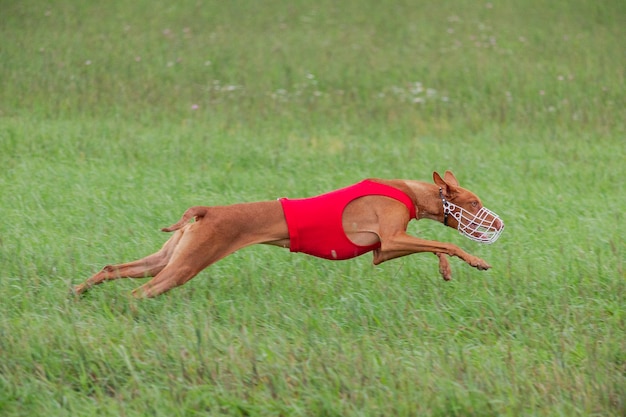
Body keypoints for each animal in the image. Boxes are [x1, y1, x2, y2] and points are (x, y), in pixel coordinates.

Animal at [73, 171, 502, 298]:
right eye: (475, 201)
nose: (498, 224)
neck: (409, 190)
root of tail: (208, 210)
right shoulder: (392, 239)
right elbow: (445, 241)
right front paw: (476, 260)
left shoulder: (383, 249)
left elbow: (437, 246)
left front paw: (446, 269)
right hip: (184, 267)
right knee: (138, 292)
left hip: (167, 258)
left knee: (113, 269)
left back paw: (79, 291)